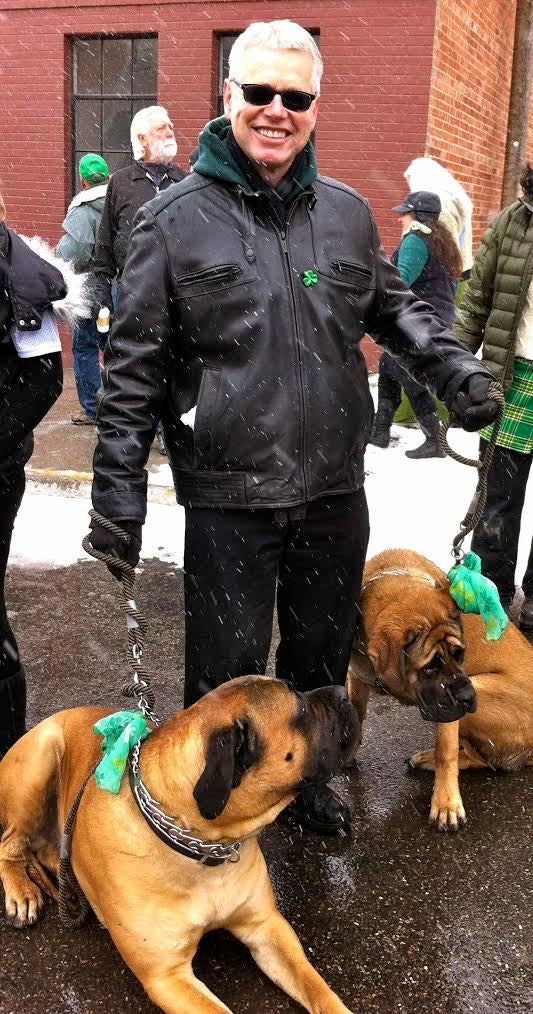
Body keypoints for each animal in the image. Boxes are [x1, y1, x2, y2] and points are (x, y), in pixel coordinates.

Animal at [1, 673, 358, 1014]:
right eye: (301, 708)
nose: (344, 692)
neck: (203, 845)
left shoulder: (266, 926)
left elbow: (317, 988)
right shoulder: (167, 978)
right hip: (40, 759)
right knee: (10, 845)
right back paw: (22, 892)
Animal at [348, 555, 533, 831]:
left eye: (459, 655)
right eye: (430, 666)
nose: (467, 698)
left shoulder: (449, 708)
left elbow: (445, 752)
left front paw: (446, 804)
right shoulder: (357, 676)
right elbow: (355, 711)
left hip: (479, 688)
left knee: (484, 761)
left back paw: (430, 760)